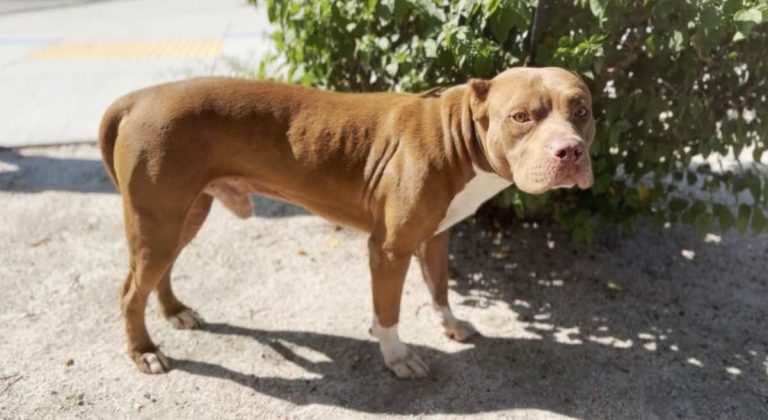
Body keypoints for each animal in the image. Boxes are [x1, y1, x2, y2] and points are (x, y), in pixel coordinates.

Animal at [99, 66, 596, 380]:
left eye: (582, 110)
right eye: (520, 117)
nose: (569, 151)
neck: (458, 135)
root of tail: (139, 97)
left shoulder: (435, 237)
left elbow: (439, 287)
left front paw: (450, 325)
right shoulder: (389, 249)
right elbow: (388, 311)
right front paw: (396, 357)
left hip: (184, 215)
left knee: (159, 273)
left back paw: (174, 311)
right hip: (159, 220)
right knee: (130, 291)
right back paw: (144, 351)